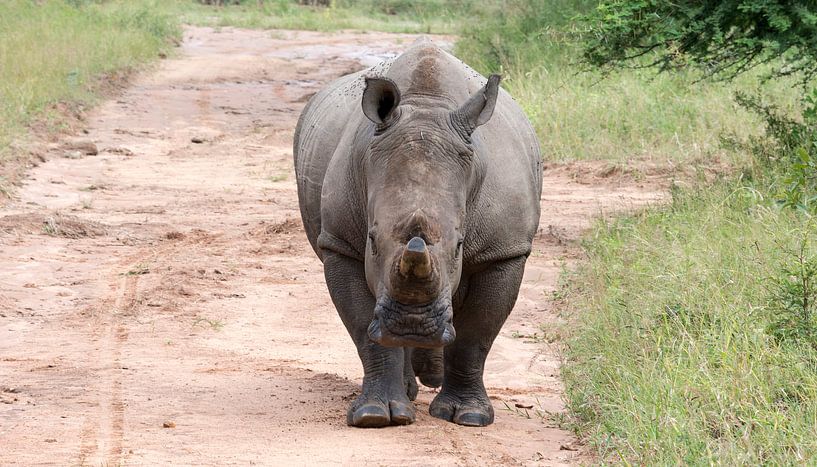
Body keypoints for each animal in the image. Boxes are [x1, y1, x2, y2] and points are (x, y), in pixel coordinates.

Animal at [294, 40, 540, 428]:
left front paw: (468, 417)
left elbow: (477, 333)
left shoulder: (504, 250)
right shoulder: (340, 244)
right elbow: (365, 330)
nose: (412, 326)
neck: (428, 107)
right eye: (371, 240)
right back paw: (410, 388)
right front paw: (375, 415)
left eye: (460, 245)